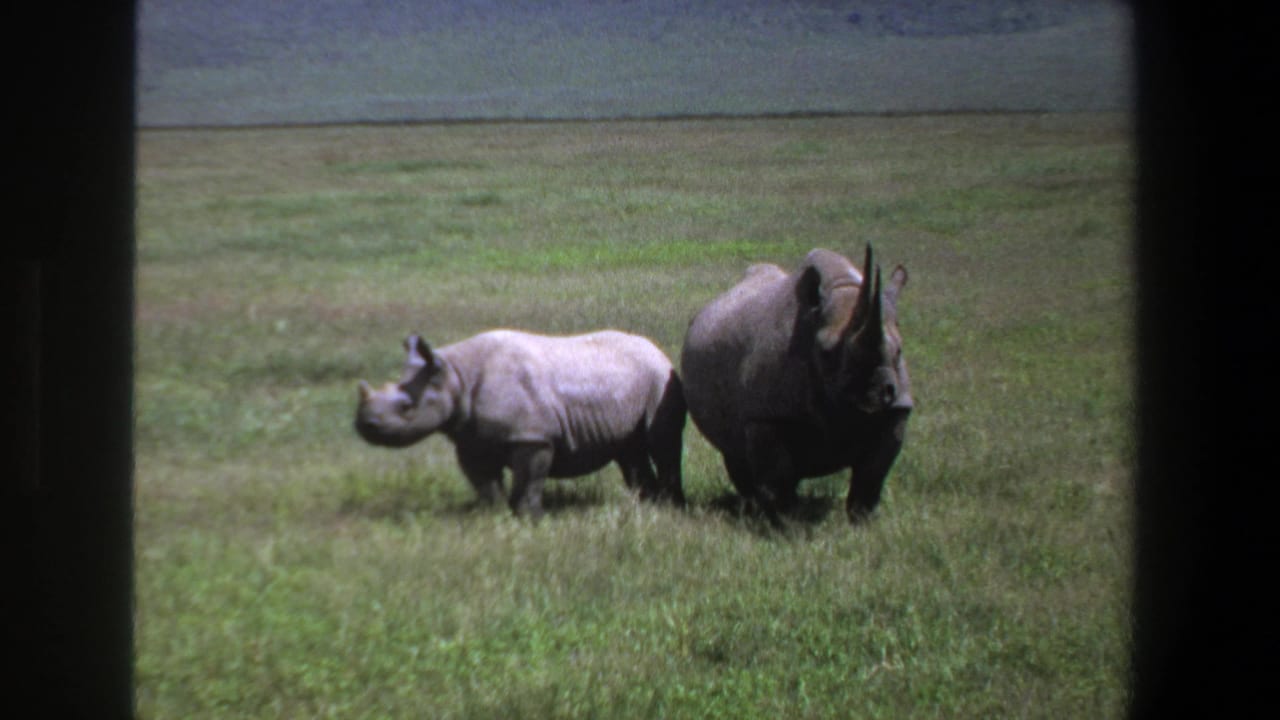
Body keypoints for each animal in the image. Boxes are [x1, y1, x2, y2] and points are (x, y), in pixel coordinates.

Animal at [355, 329, 686, 518]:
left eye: (406, 407)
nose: (364, 425)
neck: (454, 374)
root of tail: (657, 349)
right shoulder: (470, 439)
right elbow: (484, 481)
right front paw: (492, 516)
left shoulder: (531, 436)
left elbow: (529, 478)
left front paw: (530, 518)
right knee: (629, 451)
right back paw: (646, 505)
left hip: (659, 378)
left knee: (662, 444)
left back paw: (671, 507)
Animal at [680, 245, 912, 524]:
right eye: (825, 353)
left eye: (899, 351)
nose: (877, 395)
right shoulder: (767, 415)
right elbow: (777, 475)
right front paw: (785, 523)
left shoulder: (897, 409)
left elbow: (872, 474)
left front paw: (862, 522)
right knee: (735, 451)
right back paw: (751, 508)